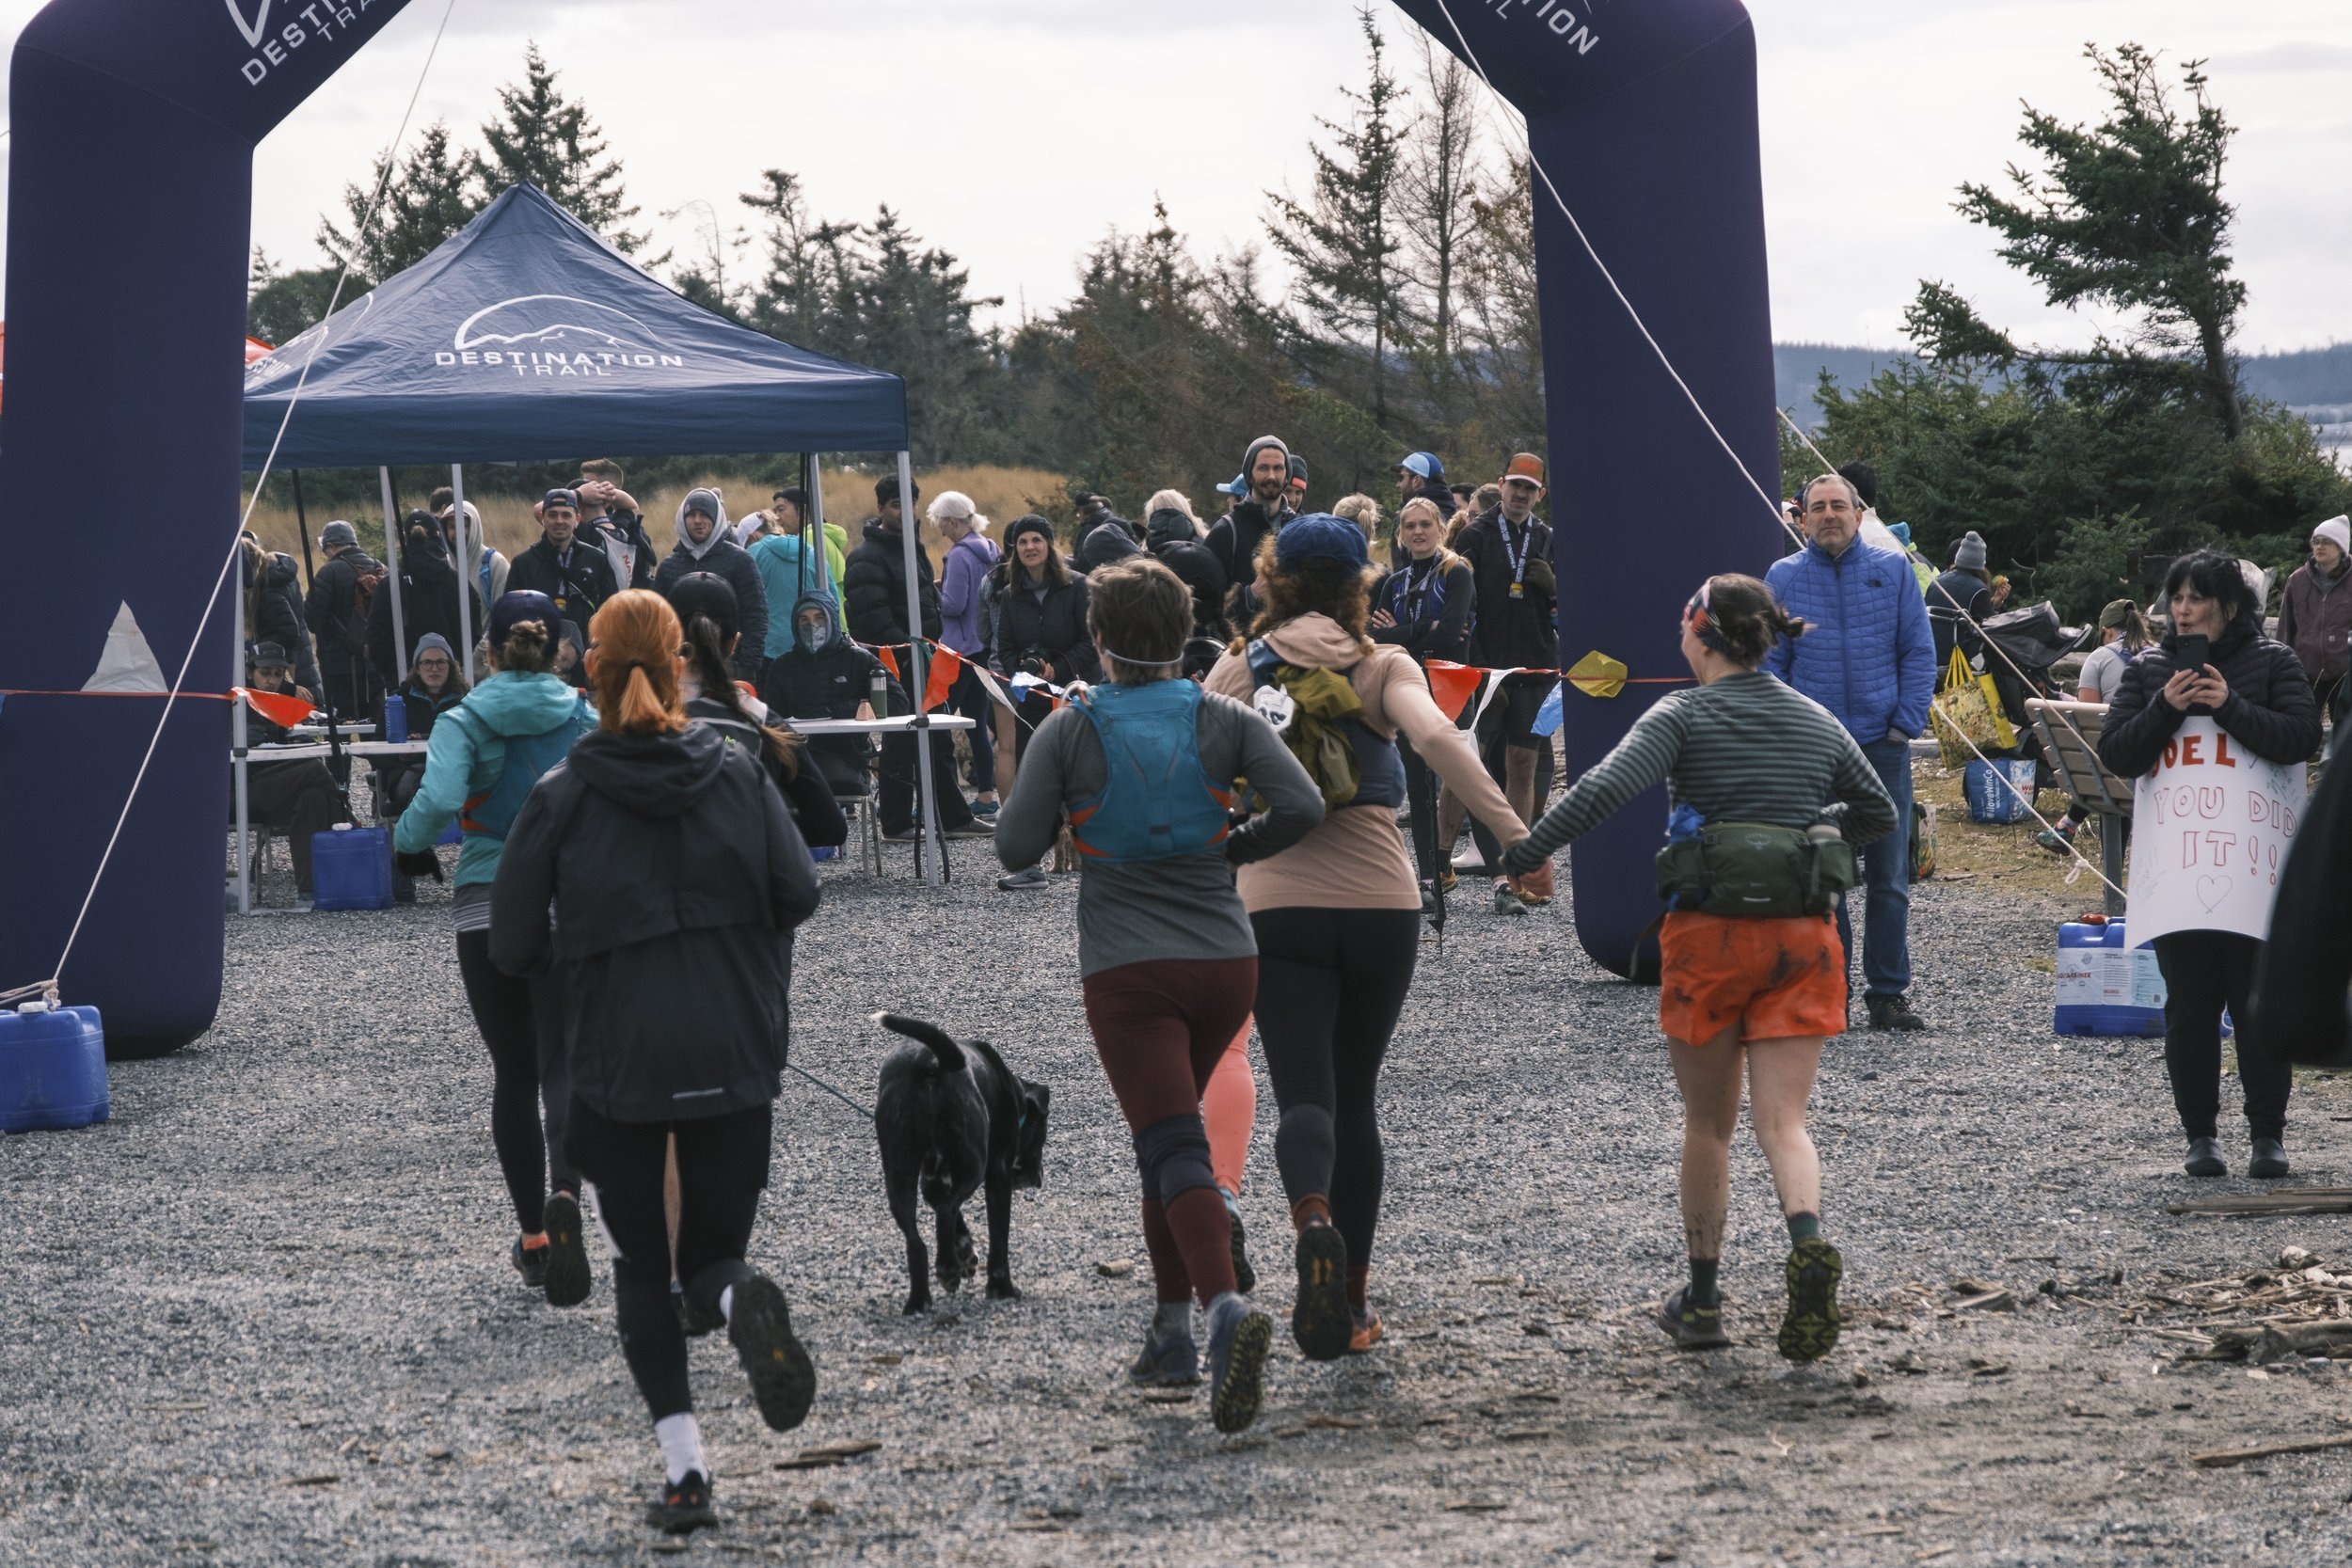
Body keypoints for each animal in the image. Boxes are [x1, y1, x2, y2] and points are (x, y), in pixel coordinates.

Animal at [875, 1020, 1049, 1316]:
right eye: (1042, 1134)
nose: (1038, 1178)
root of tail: (931, 1061)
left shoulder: (932, 1182)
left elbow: (950, 1214)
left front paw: (965, 1252)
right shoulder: (997, 1175)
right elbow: (998, 1239)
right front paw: (1002, 1289)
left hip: (900, 1173)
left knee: (917, 1241)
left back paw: (920, 1300)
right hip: (974, 1164)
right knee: (946, 1212)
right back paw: (947, 1269)